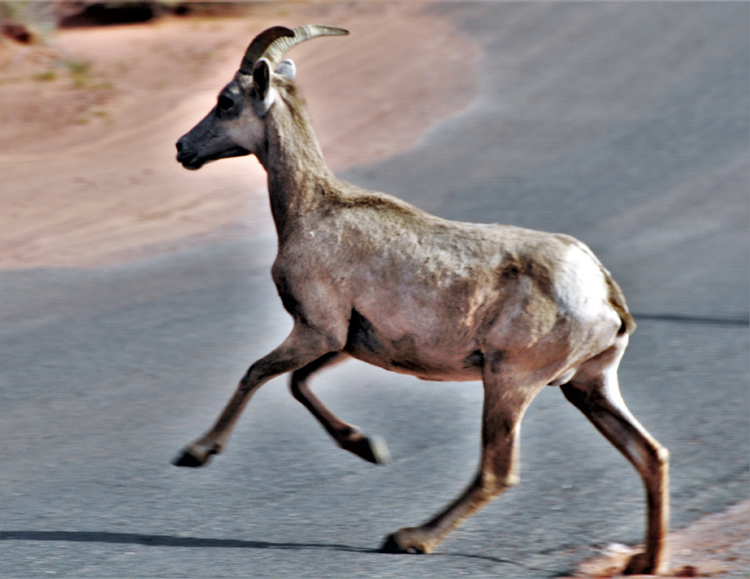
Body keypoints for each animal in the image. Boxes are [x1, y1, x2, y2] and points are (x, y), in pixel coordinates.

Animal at [173, 26, 672, 576]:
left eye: (226, 101)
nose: (182, 148)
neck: (313, 210)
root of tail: (602, 293)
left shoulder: (316, 331)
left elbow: (257, 374)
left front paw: (197, 452)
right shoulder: (343, 342)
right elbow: (297, 385)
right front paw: (368, 448)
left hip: (510, 383)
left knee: (497, 472)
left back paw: (410, 537)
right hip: (588, 386)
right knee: (650, 454)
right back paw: (646, 561)